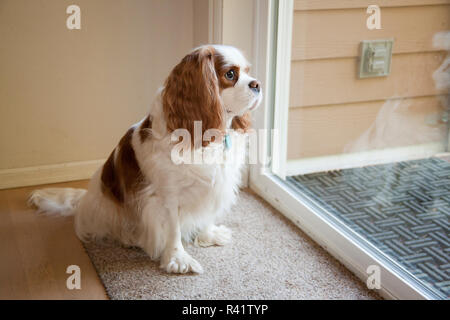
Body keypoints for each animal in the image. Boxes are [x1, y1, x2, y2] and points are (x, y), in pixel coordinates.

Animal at [29, 45, 260, 274]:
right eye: (230, 74)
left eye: (248, 71)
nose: (257, 84)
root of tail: (86, 199)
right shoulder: (167, 194)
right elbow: (173, 229)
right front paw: (178, 259)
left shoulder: (215, 184)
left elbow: (207, 213)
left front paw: (208, 234)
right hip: (109, 208)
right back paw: (129, 237)